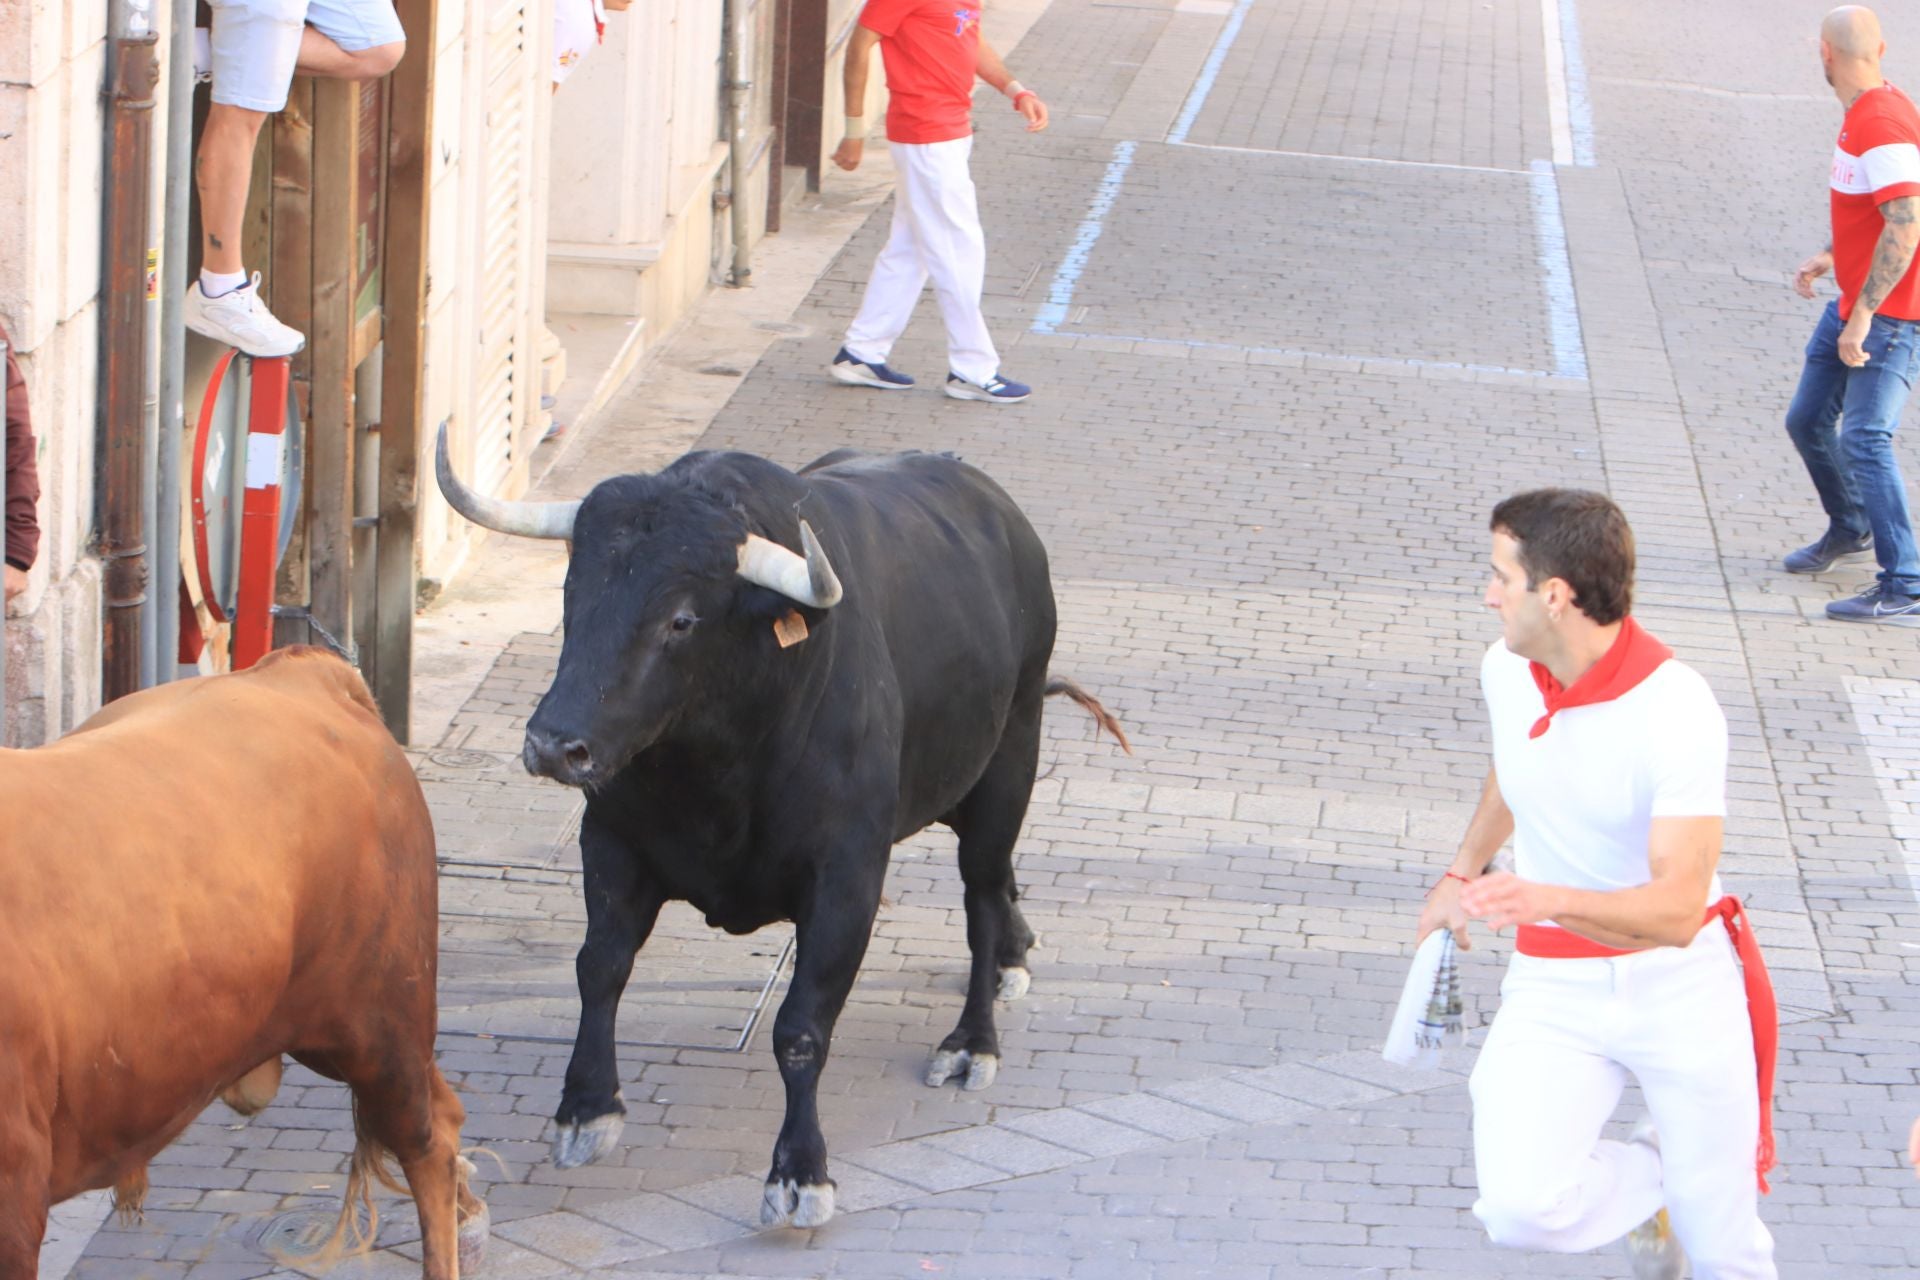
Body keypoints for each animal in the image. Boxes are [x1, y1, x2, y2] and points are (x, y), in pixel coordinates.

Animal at [439, 437, 1121, 1228]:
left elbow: (800, 1028)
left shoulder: (846, 881)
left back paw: (971, 1041)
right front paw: (586, 1109)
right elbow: (598, 967)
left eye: (682, 619)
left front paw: (800, 1172)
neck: (716, 769)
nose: (554, 744)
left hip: (1009, 762)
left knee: (982, 892)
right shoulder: (610, 843)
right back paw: (1017, 949)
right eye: (572, 592)